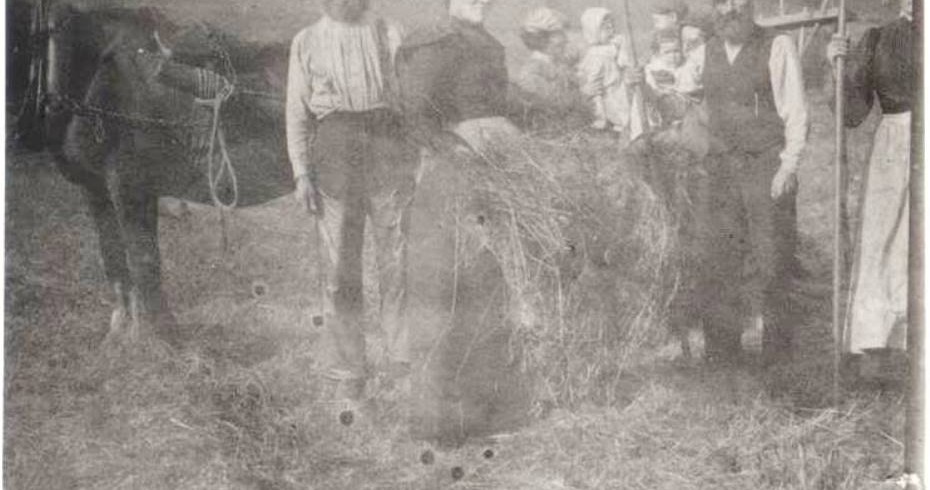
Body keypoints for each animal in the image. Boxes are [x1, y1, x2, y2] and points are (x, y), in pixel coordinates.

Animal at [20, 4, 292, 348]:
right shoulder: (95, 190)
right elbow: (114, 260)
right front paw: (121, 332)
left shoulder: (132, 187)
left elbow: (144, 262)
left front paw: (160, 338)